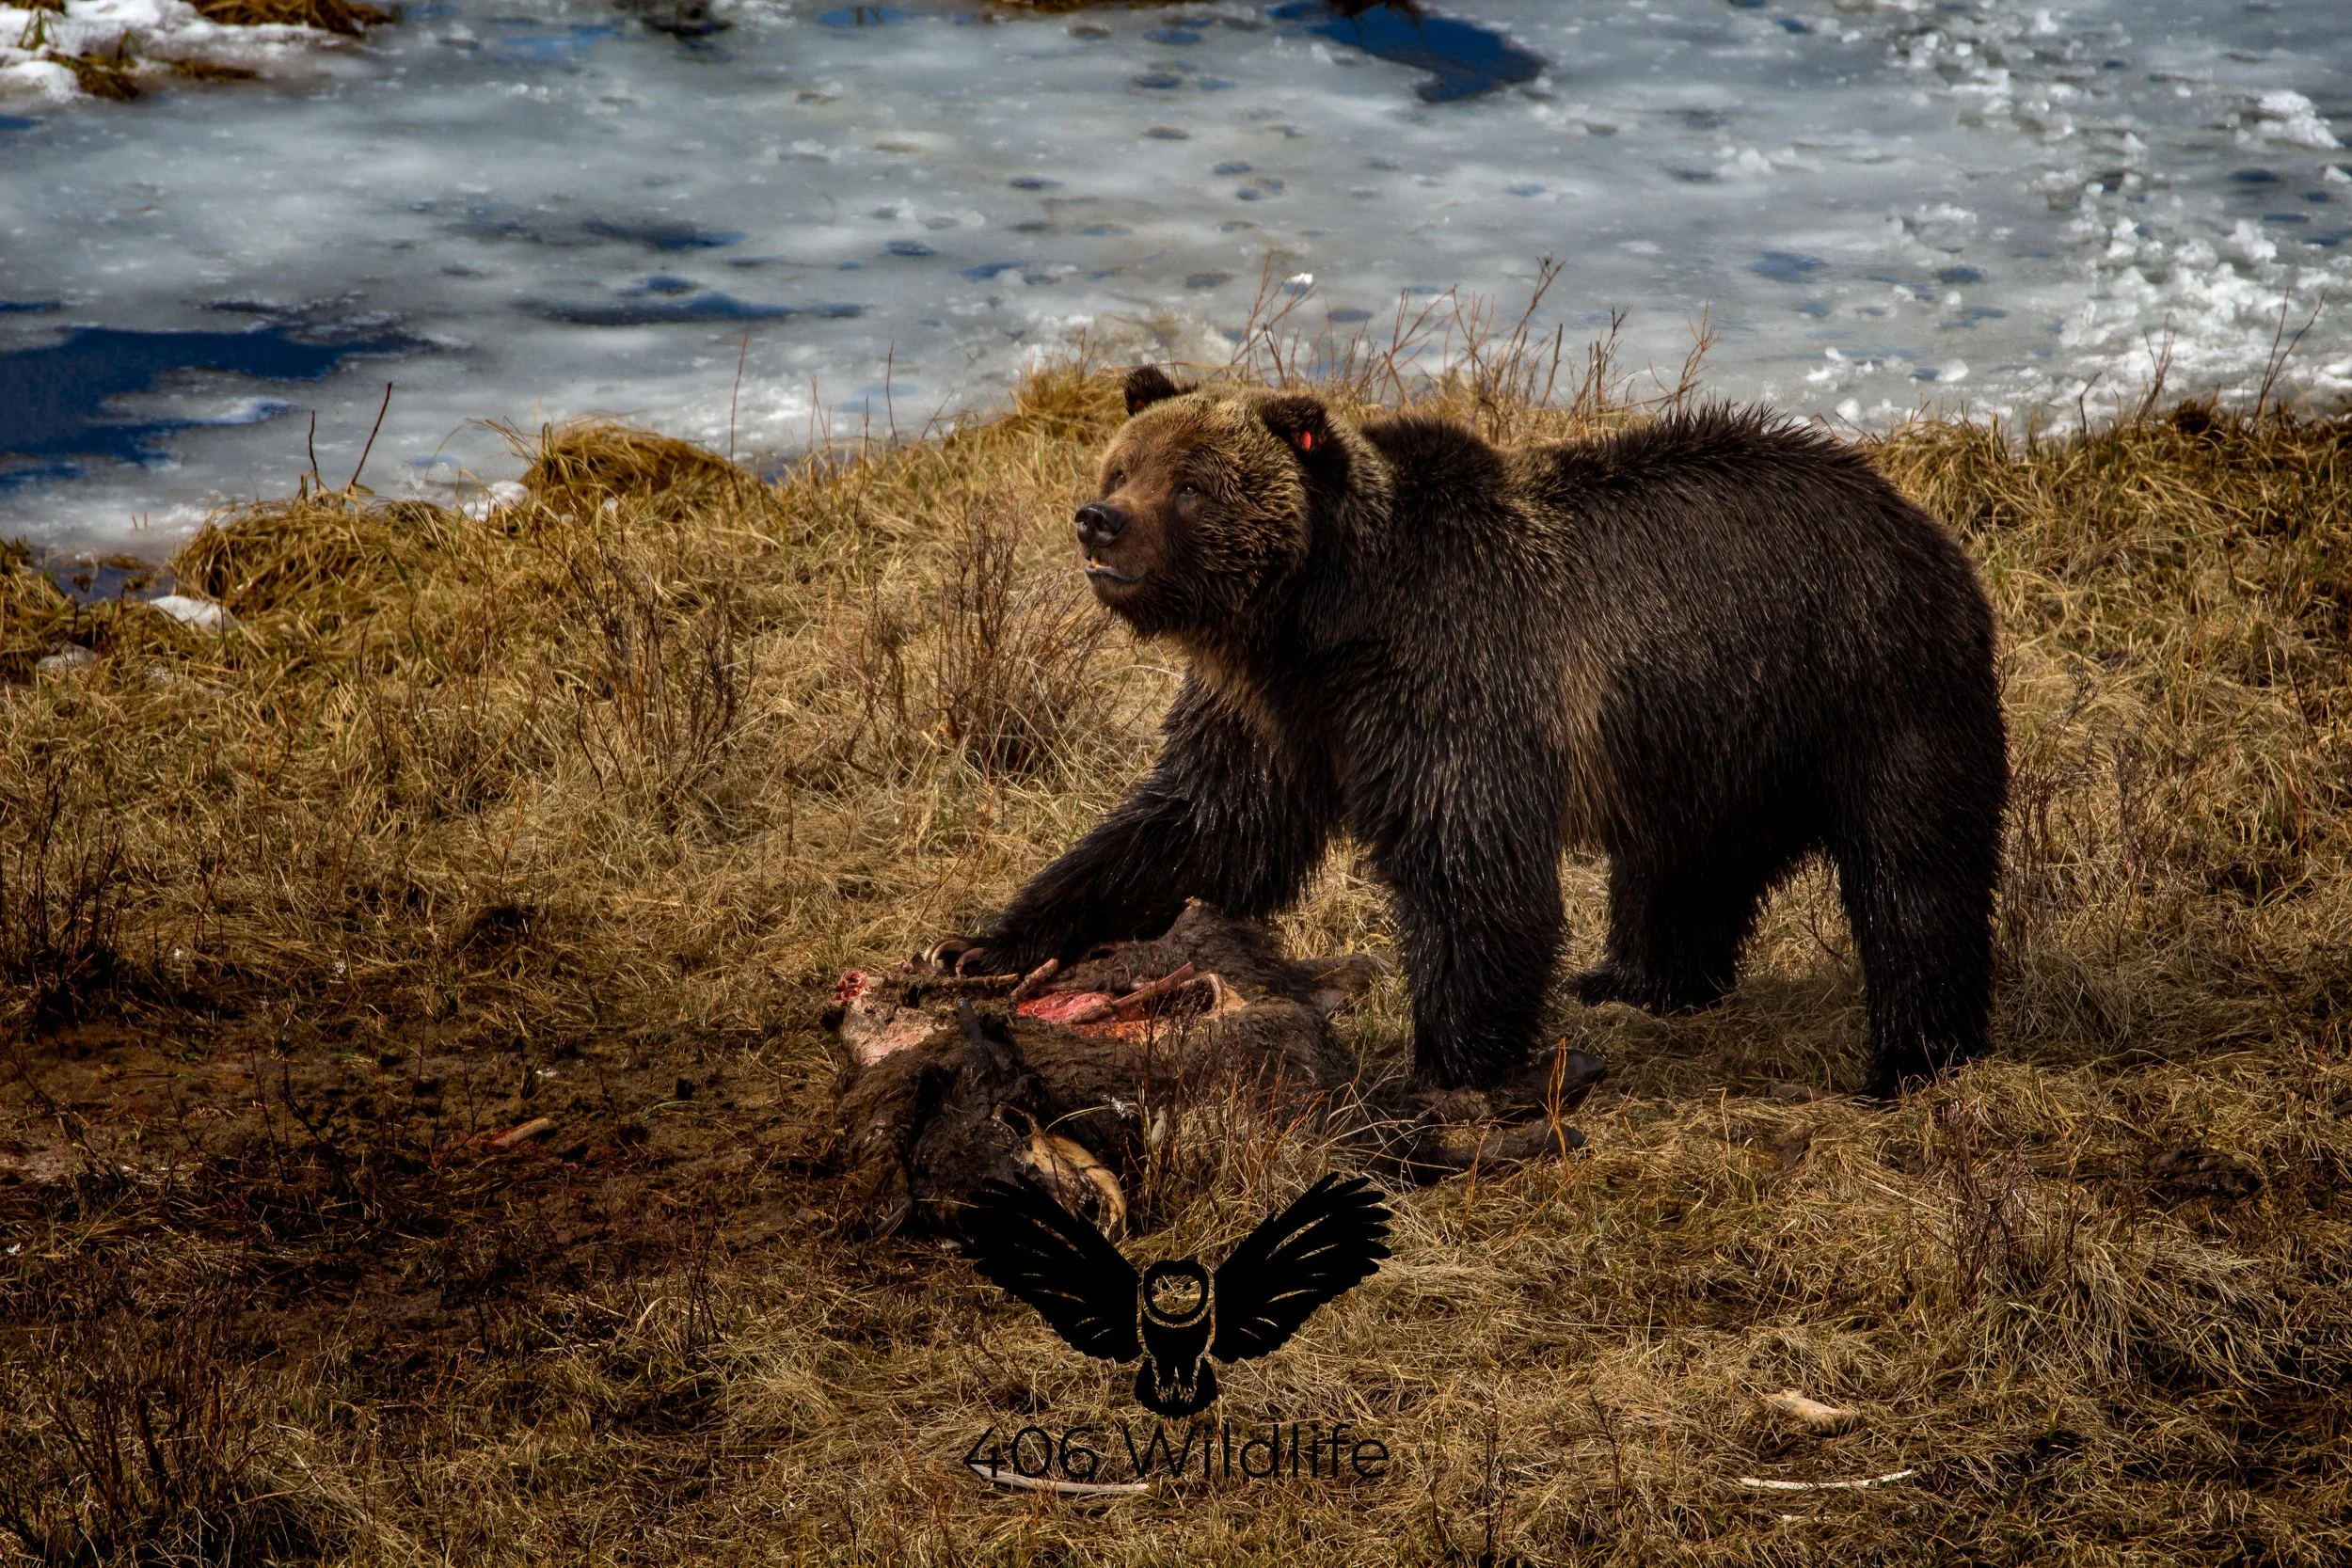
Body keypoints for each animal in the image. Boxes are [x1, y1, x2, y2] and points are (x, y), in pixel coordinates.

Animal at [930, 366, 2007, 1098]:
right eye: (1123, 462)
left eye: (1192, 484)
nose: (1098, 519)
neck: (1318, 625)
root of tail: (1910, 511)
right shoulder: (1275, 715)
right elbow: (1197, 829)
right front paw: (984, 943)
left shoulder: (1452, 675)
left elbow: (1469, 869)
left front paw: (1447, 1066)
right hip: (1705, 730)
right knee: (1683, 864)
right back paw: (1635, 979)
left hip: (1867, 684)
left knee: (1914, 873)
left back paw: (1913, 1054)